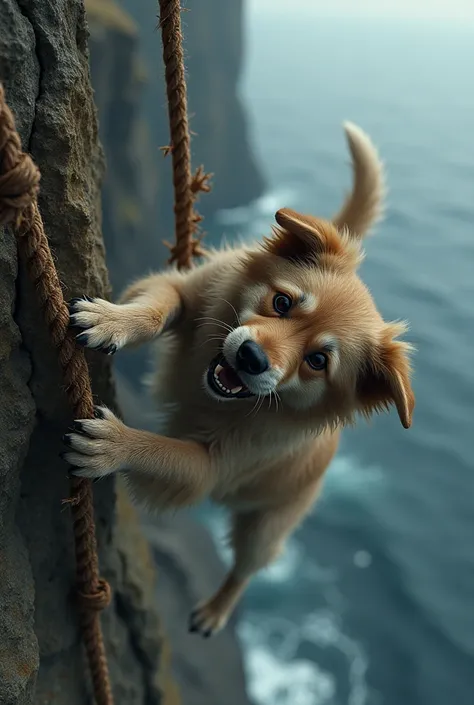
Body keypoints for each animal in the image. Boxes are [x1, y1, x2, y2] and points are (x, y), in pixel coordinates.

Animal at [64, 122, 414, 640]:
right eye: (282, 302)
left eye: (317, 361)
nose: (250, 357)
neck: (217, 396)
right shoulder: (188, 289)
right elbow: (155, 308)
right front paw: (113, 320)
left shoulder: (211, 467)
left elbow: (159, 449)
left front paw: (115, 444)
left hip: (270, 524)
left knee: (247, 567)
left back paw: (216, 609)